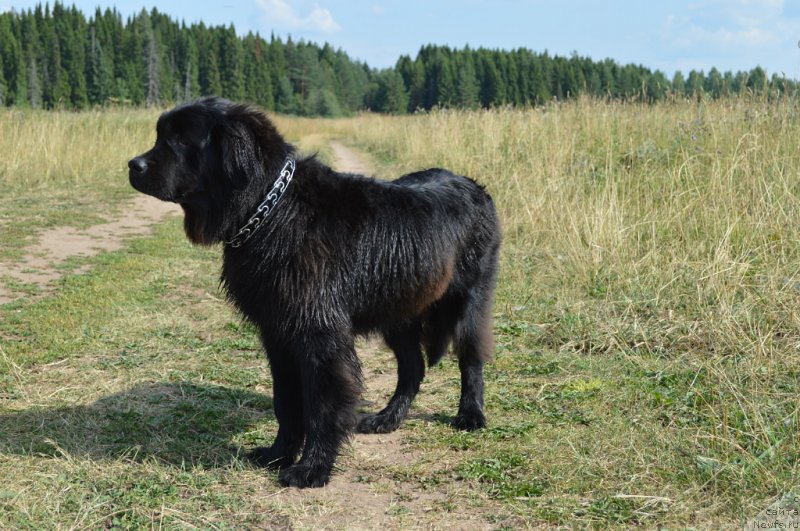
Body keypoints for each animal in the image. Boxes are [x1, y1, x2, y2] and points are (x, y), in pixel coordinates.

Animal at [129, 97, 500, 488]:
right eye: (160, 135)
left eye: (181, 140)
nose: (132, 165)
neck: (271, 210)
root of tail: (474, 186)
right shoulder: (277, 333)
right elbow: (287, 402)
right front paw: (277, 454)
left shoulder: (318, 336)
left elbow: (322, 406)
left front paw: (313, 469)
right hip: (398, 311)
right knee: (413, 368)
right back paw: (387, 419)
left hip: (468, 301)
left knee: (470, 357)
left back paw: (470, 415)